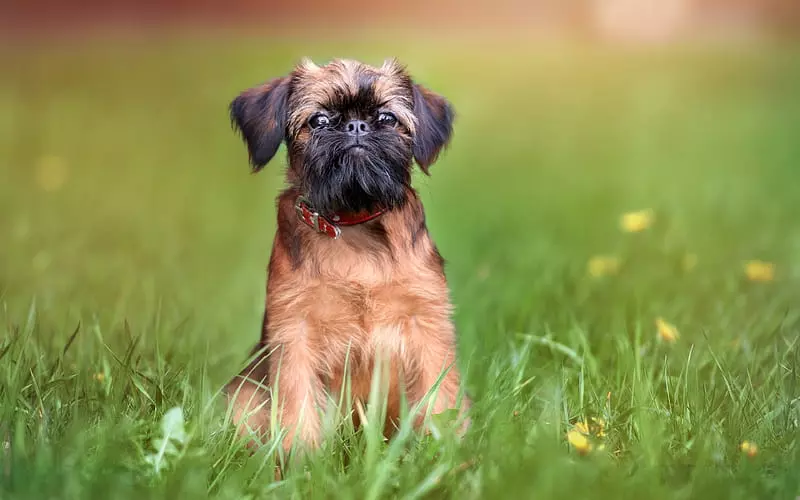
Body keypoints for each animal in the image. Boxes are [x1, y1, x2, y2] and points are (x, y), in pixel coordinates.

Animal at [225, 56, 468, 452]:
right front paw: (301, 459)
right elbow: (298, 402)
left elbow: (439, 397)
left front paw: (445, 452)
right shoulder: (295, 333)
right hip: (243, 391)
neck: (354, 221)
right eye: (319, 121)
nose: (356, 126)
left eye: (386, 118)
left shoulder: (427, 326)